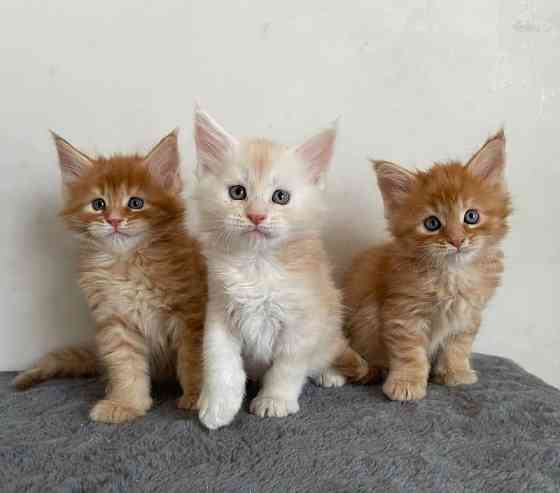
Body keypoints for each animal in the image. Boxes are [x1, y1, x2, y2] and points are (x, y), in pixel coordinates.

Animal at [14, 131, 207, 422]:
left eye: (136, 203)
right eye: (98, 204)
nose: (114, 220)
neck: (126, 263)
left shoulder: (190, 315)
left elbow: (194, 361)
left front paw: (198, 397)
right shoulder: (116, 322)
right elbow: (126, 365)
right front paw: (126, 403)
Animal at [190, 106, 370, 426]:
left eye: (280, 197)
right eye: (238, 192)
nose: (256, 216)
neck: (258, 264)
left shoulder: (302, 322)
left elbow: (287, 367)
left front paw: (274, 401)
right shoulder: (219, 312)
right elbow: (220, 361)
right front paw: (218, 405)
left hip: (330, 325)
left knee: (330, 351)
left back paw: (330, 374)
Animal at [344, 130, 510, 400]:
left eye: (471, 216)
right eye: (432, 223)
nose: (456, 240)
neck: (452, 276)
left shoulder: (468, 315)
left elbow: (458, 346)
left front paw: (455, 372)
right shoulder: (402, 313)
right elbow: (410, 354)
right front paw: (407, 382)